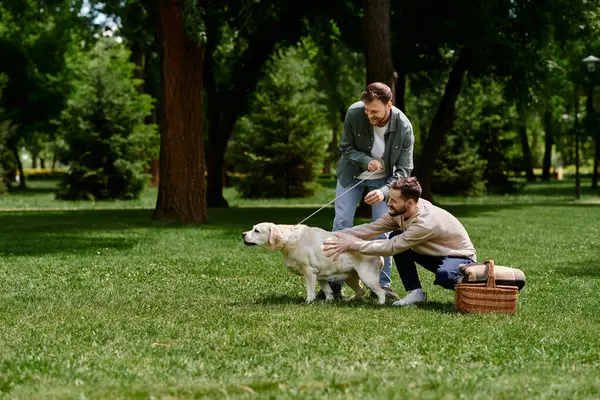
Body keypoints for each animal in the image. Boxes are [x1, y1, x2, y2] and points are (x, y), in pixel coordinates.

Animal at [243, 222, 386, 304]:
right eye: (252, 228)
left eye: (256, 231)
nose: (242, 234)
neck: (289, 240)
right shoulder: (320, 275)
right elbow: (327, 290)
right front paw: (329, 301)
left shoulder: (309, 272)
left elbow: (310, 290)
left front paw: (309, 301)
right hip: (350, 277)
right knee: (360, 291)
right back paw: (350, 300)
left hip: (367, 276)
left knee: (381, 292)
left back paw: (380, 303)